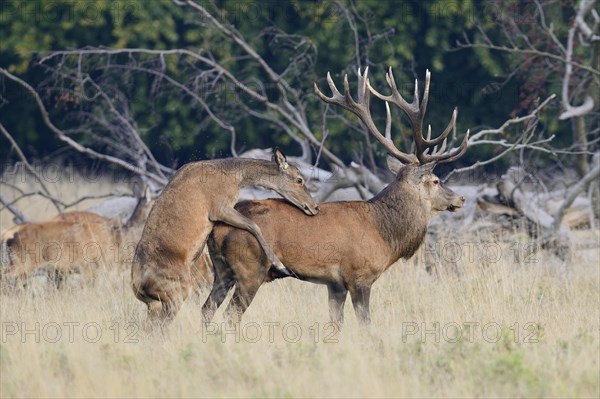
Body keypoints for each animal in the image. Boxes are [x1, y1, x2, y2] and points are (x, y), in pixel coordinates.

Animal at [129, 148, 322, 326]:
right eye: (299, 179)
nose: (315, 207)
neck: (236, 177)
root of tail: (137, 286)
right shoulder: (219, 207)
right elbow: (254, 225)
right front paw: (280, 265)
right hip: (177, 290)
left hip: (154, 303)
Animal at [204, 67, 472, 326]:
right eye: (435, 180)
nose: (460, 199)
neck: (384, 234)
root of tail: (218, 228)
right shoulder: (359, 275)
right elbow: (365, 323)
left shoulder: (335, 284)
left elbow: (336, 324)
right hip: (250, 268)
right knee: (230, 315)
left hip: (221, 271)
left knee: (206, 309)